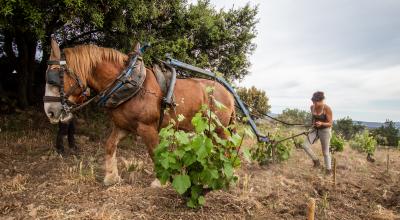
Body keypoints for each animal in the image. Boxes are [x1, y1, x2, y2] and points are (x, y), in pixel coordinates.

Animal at [44, 39, 234, 186]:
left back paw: (223, 174)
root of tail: (228, 93)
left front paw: (160, 181)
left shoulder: (146, 128)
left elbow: (155, 153)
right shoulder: (123, 126)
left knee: (225, 148)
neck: (128, 82)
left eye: (53, 79)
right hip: (208, 129)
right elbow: (109, 146)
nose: (50, 112)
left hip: (218, 128)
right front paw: (111, 177)